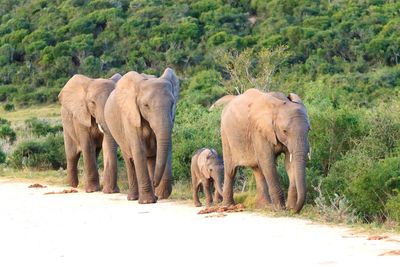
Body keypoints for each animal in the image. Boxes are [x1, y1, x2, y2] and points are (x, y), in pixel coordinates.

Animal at [104, 68, 179, 204]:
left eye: (172, 104)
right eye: (146, 106)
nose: (154, 183)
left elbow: (165, 149)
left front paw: (157, 196)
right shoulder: (130, 116)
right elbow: (139, 151)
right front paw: (147, 202)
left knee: (150, 159)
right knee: (129, 160)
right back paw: (133, 198)